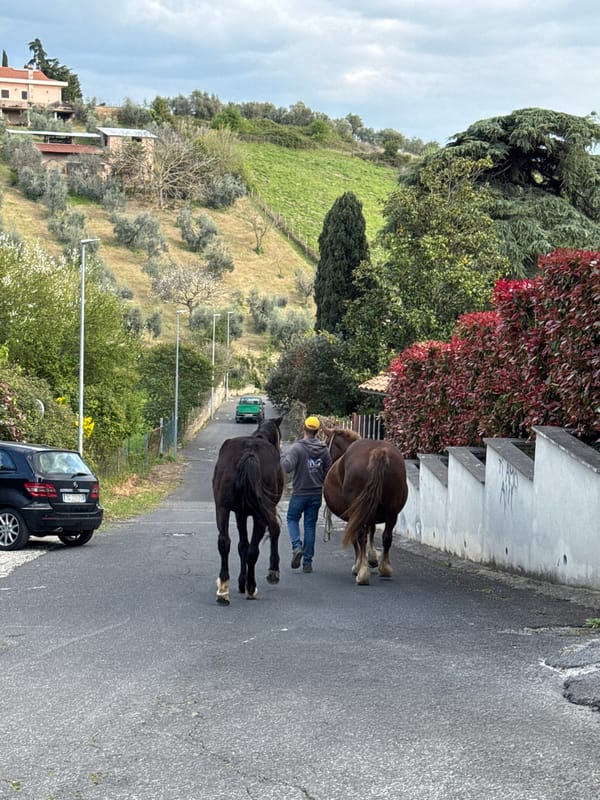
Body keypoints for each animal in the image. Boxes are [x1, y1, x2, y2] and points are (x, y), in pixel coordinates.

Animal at [212, 416, 284, 604]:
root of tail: (249, 452)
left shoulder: (240, 513)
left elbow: (241, 546)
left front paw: (240, 582)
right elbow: (272, 533)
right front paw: (273, 571)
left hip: (222, 508)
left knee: (224, 542)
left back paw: (223, 589)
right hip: (260, 515)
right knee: (254, 549)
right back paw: (251, 588)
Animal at [322, 428, 408, 585]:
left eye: (326, 444)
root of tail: (379, 451)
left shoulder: (355, 514)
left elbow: (356, 536)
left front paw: (359, 565)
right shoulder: (370, 513)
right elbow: (372, 531)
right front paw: (372, 558)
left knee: (361, 536)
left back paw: (362, 573)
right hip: (392, 512)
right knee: (387, 536)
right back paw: (385, 568)